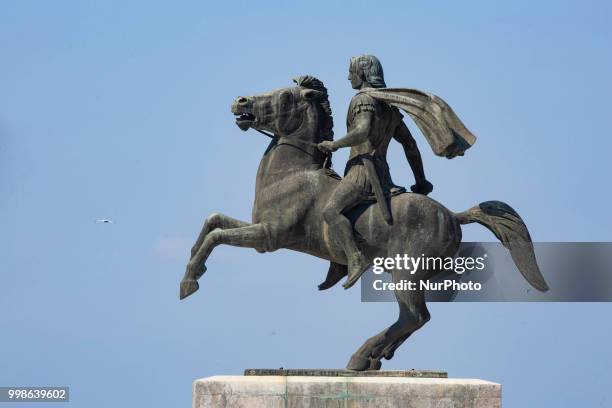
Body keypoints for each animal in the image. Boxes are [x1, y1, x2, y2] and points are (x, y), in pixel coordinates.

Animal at [182, 75, 548, 372]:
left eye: (285, 96)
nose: (240, 101)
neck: (292, 174)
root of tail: (452, 215)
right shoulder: (256, 229)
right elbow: (212, 221)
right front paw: (189, 270)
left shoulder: (268, 237)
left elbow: (217, 235)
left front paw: (189, 283)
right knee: (412, 319)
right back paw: (375, 357)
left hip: (406, 273)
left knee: (415, 316)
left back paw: (361, 356)